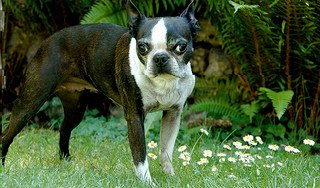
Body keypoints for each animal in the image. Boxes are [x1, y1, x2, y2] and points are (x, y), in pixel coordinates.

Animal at [1, 0, 199, 184]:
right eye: (142, 47)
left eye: (181, 47)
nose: (160, 58)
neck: (163, 82)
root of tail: (47, 41)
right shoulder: (135, 116)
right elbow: (140, 155)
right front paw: (147, 182)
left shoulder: (173, 114)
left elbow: (166, 150)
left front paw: (170, 177)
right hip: (30, 103)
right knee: (6, 135)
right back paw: (3, 168)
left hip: (76, 108)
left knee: (64, 130)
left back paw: (67, 163)